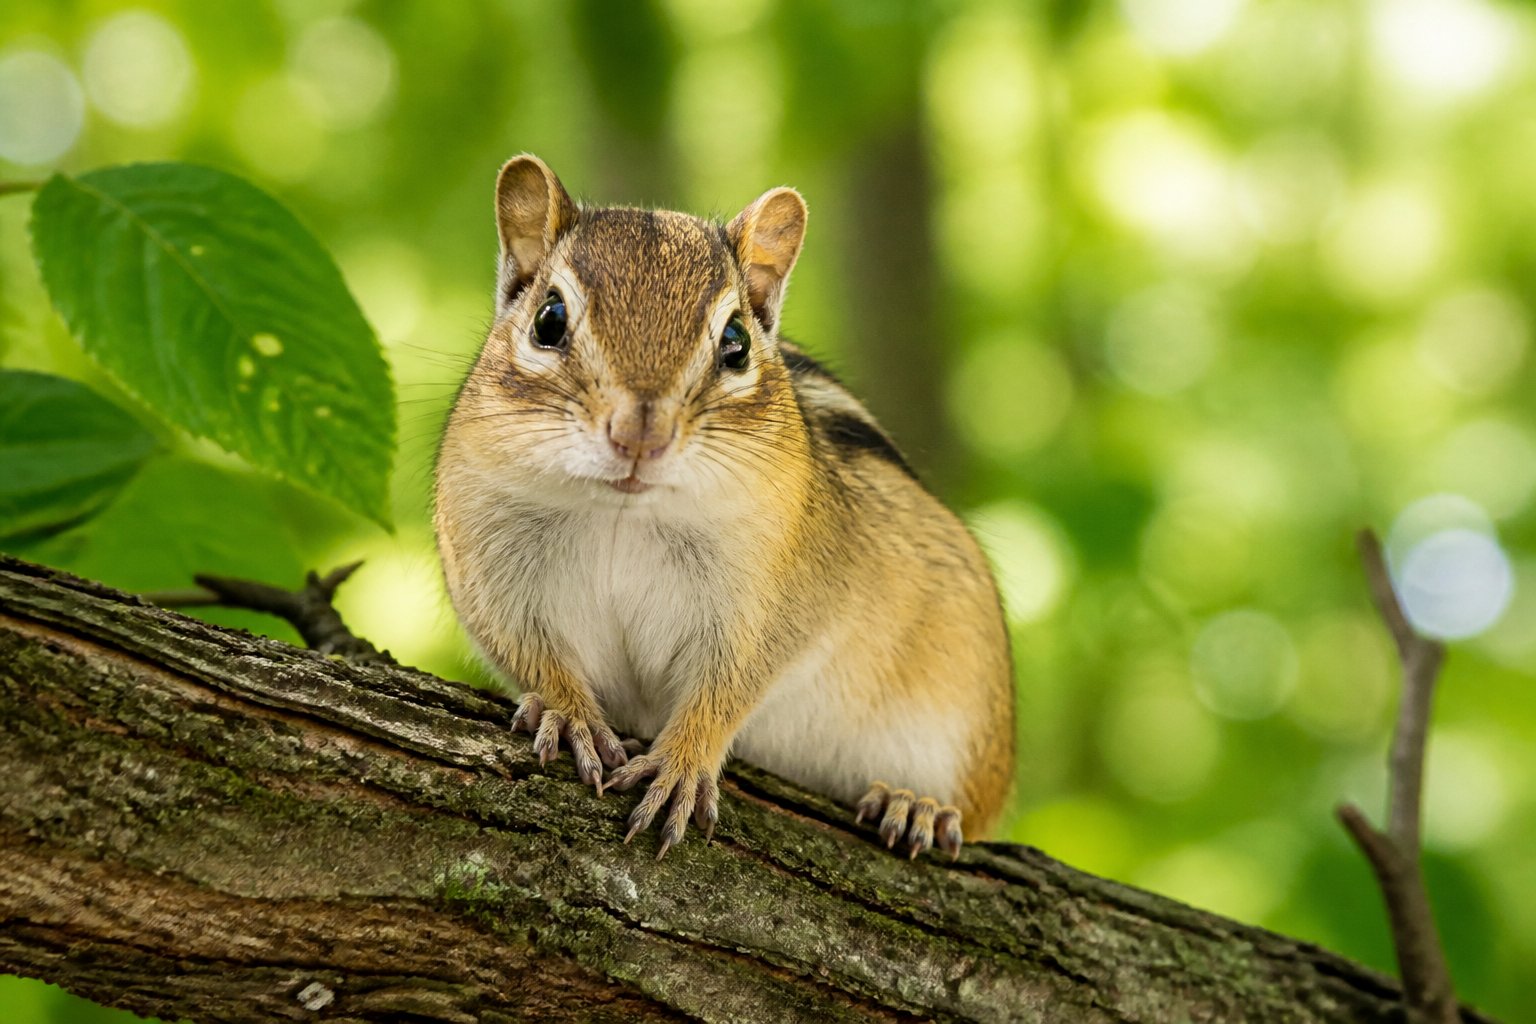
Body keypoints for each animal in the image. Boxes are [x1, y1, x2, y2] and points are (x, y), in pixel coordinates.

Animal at [435, 155, 1014, 859]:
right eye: (549, 319)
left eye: (735, 341)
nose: (640, 434)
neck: (624, 515)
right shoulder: (488, 568)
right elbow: (527, 650)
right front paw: (568, 712)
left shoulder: (776, 598)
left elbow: (732, 687)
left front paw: (683, 762)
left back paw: (918, 804)